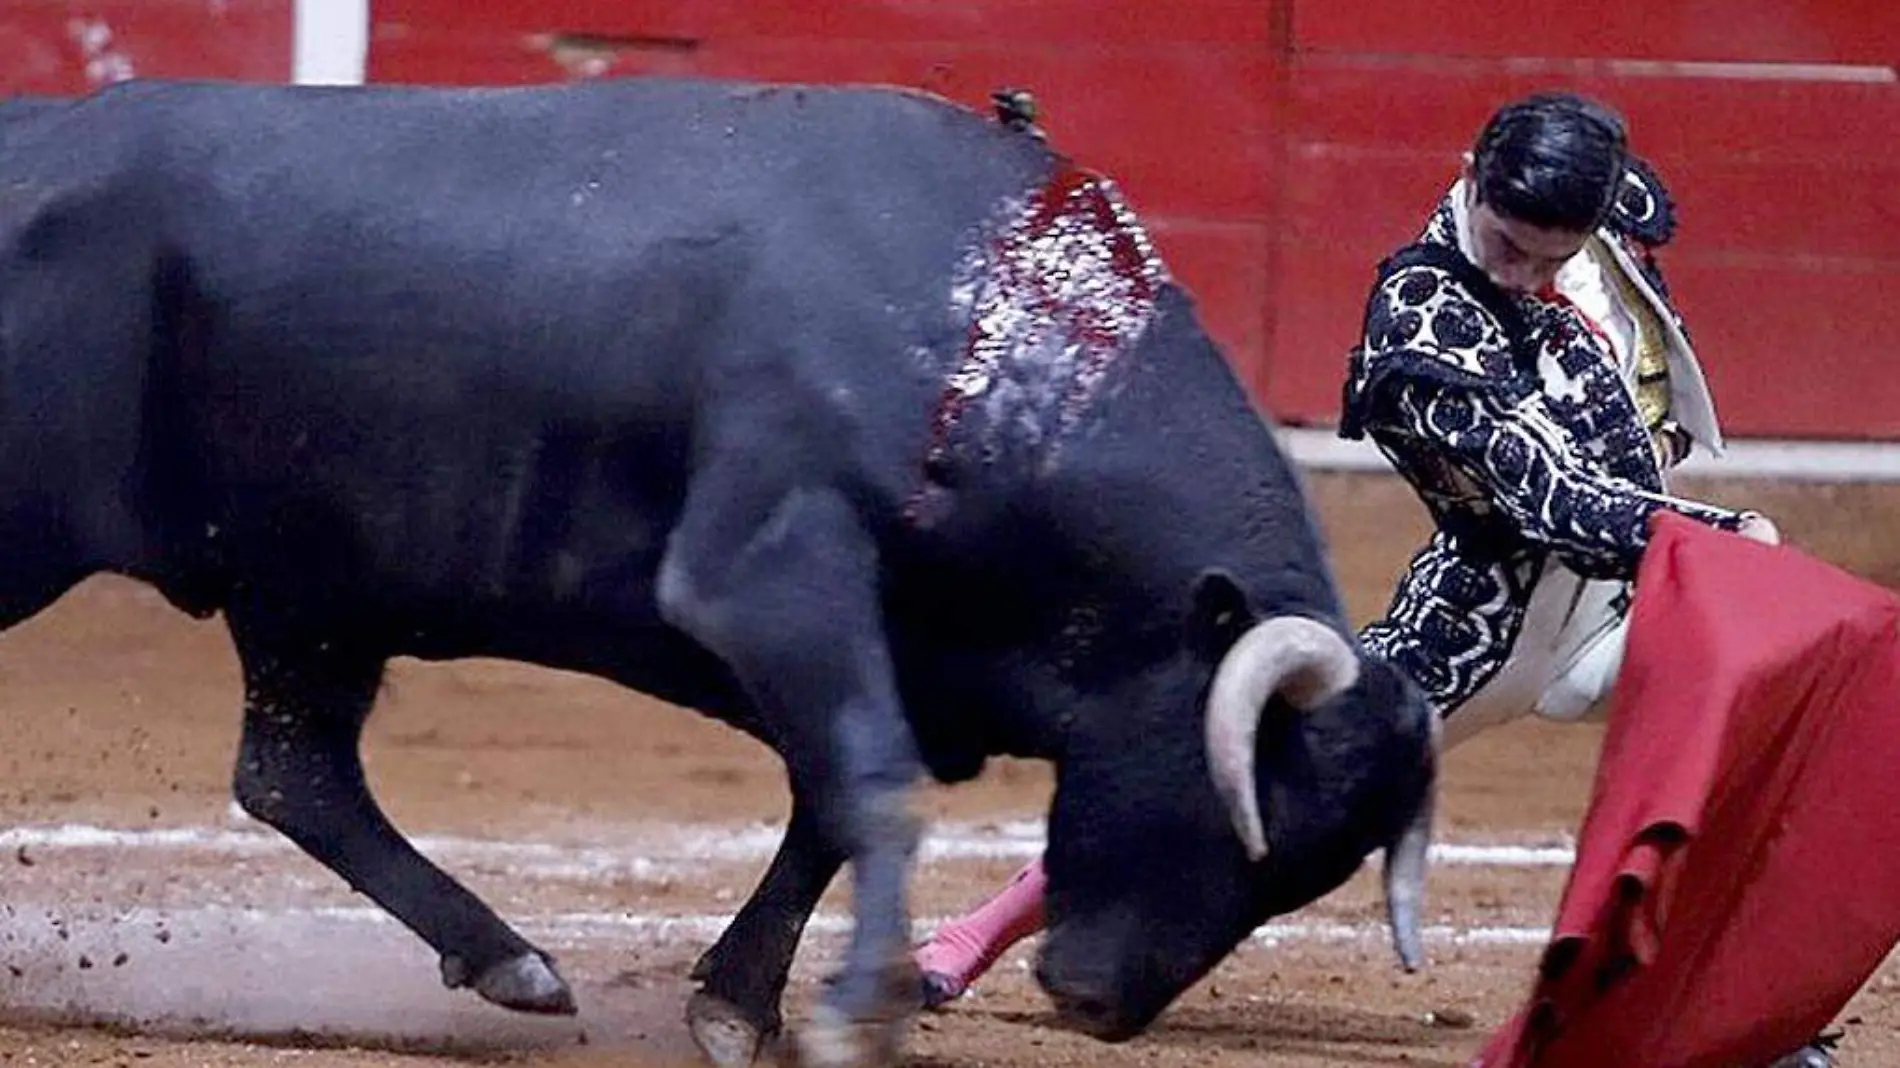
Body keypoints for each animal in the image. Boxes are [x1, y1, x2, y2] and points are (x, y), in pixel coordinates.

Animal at [0, 78, 1428, 1064]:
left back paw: (513, 964)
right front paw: (857, 1015)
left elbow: (829, 811)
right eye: (1229, 791)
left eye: (1315, 868)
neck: (996, 342)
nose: (1098, 1002)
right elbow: (870, 787)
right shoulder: (766, 579)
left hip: (312, 598)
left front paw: (740, 1006)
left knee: (296, 774)